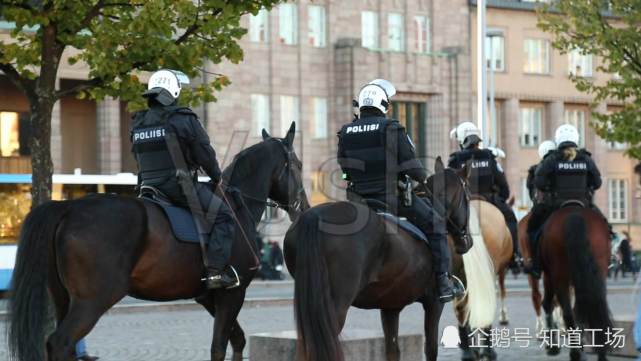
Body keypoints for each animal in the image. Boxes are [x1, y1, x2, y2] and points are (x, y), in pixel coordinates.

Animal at [6, 123, 308, 360]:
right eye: (298, 165)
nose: (303, 208)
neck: (234, 204)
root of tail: (68, 208)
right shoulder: (231, 294)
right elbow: (219, 346)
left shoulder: (209, 297)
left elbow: (237, 340)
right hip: (92, 301)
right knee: (61, 343)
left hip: (63, 298)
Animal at [282, 159, 476, 360]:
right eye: (469, 196)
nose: (467, 242)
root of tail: (313, 216)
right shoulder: (434, 303)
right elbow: (430, 349)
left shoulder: (391, 307)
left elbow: (392, 350)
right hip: (334, 308)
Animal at [540, 205, 608, 360]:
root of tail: (574, 214)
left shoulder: (549, 275)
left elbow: (548, 304)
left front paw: (553, 346)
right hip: (596, 273)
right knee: (591, 306)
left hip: (559, 277)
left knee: (566, 311)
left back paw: (575, 352)